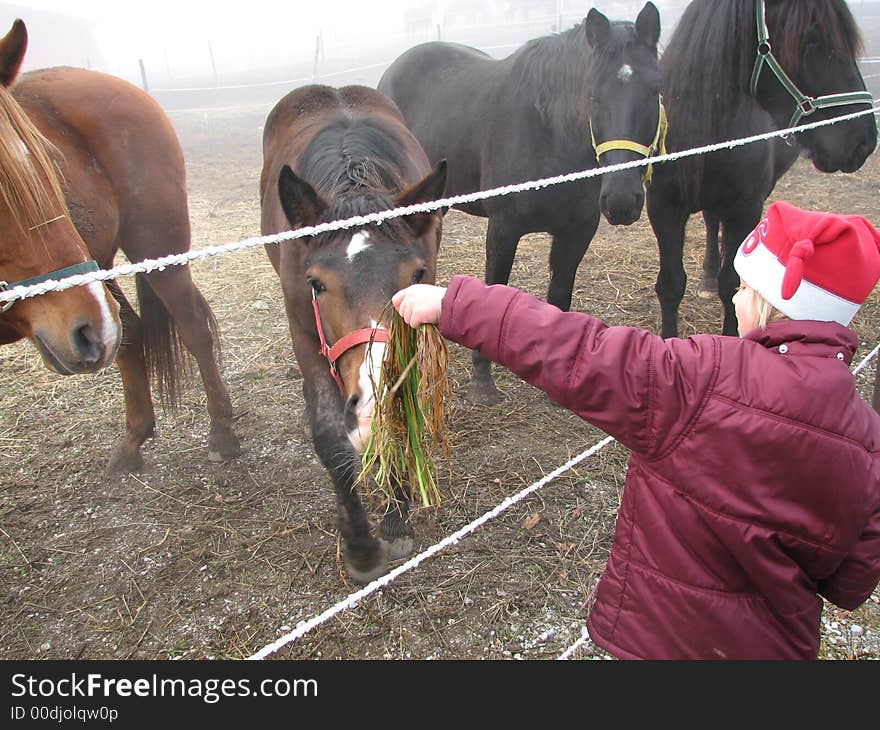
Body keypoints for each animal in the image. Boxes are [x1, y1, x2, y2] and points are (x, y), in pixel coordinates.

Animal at [0, 21, 241, 472]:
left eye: (46, 164)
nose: (84, 331)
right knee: (130, 333)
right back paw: (133, 441)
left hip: (152, 252)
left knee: (190, 328)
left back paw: (221, 433)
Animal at [258, 82, 444, 580]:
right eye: (316, 284)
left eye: (417, 273)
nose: (369, 402)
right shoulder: (305, 333)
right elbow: (329, 436)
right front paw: (359, 544)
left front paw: (396, 519)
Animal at [378, 2, 660, 404]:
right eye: (593, 95)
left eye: (655, 89)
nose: (622, 200)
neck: (549, 131)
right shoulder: (504, 228)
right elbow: (494, 285)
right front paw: (482, 381)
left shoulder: (578, 230)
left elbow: (560, 295)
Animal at [648, 0, 872, 338]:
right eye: (812, 39)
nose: (863, 140)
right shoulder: (663, 209)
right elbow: (671, 284)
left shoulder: (746, 210)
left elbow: (732, 285)